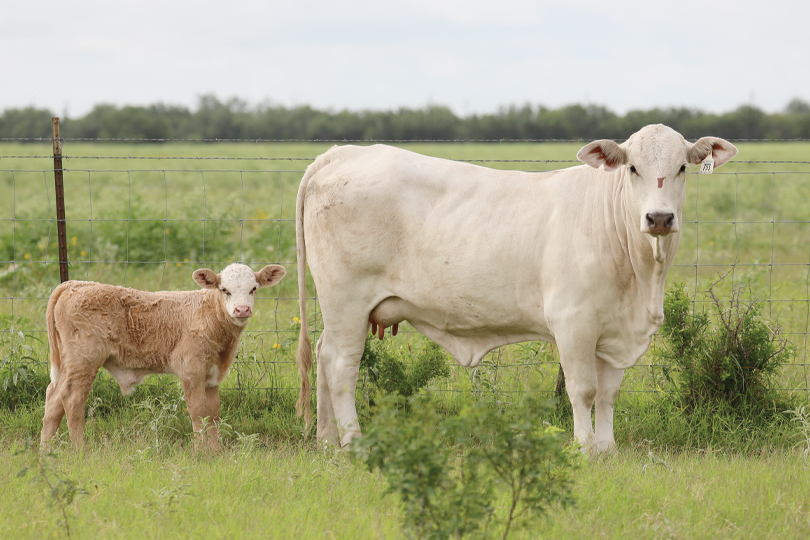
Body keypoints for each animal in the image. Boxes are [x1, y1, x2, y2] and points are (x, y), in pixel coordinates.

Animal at [41, 263, 286, 449]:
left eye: (254, 288)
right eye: (224, 289)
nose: (242, 309)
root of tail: (74, 284)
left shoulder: (212, 375)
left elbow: (213, 414)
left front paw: (215, 451)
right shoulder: (191, 370)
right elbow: (198, 412)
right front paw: (201, 452)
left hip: (69, 363)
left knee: (53, 399)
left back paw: (46, 451)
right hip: (85, 359)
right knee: (72, 399)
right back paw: (80, 449)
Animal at [294, 124, 737, 452]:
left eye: (682, 168)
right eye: (632, 169)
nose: (659, 217)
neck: (641, 279)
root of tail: (344, 153)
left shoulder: (613, 330)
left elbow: (609, 393)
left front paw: (607, 449)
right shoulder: (573, 322)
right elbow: (583, 390)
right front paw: (584, 448)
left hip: (340, 311)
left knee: (324, 356)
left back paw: (328, 441)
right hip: (347, 302)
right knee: (340, 366)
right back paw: (353, 442)